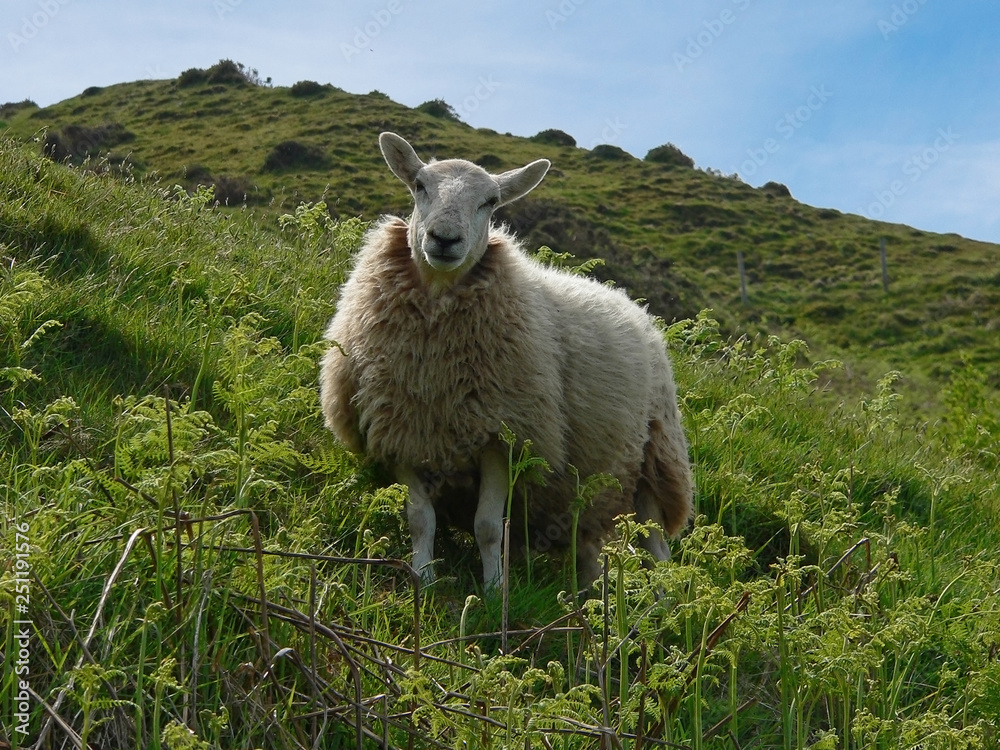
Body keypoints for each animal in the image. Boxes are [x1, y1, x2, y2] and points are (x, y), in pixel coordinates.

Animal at [319, 131, 692, 589]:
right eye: (419, 185)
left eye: (491, 201)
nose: (444, 239)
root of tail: (631, 303)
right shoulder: (400, 431)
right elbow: (420, 518)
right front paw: (423, 578)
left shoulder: (504, 434)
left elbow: (488, 527)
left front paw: (495, 591)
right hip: (589, 490)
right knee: (588, 551)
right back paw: (586, 601)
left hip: (657, 461)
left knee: (658, 552)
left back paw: (664, 604)